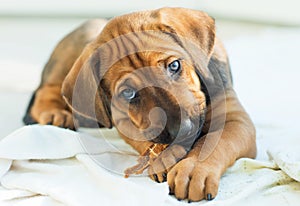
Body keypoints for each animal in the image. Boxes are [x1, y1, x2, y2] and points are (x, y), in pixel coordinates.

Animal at [23, 7, 256, 201]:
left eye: (174, 65)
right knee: (47, 89)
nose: (183, 130)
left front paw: (193, 170)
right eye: (128, 93)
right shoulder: (122, 119)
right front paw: (163, 155)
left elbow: (216, 141)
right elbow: (145, 137)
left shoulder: (236, 120)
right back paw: (55, 113)